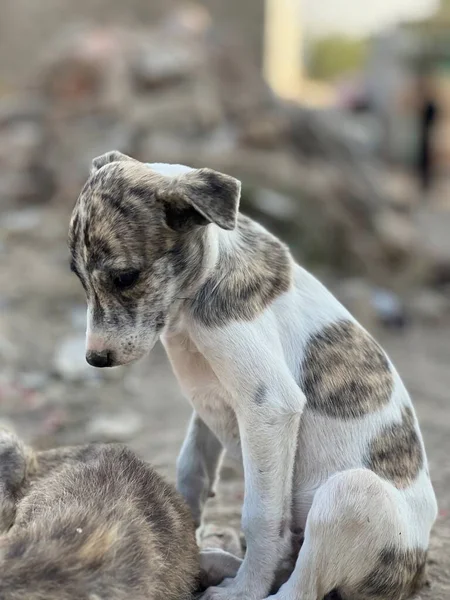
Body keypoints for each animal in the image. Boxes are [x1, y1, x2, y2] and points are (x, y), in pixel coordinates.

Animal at [68, 151, 438, 600]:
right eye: (78, 277)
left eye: (125, 277)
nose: (95, 359)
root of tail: (416, 571)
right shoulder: (209, 396)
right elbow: (190, 466)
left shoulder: (268, 404)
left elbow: (260, 515)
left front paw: (245, 587)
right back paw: (213, 563)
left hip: (352, 493)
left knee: (301, 588)